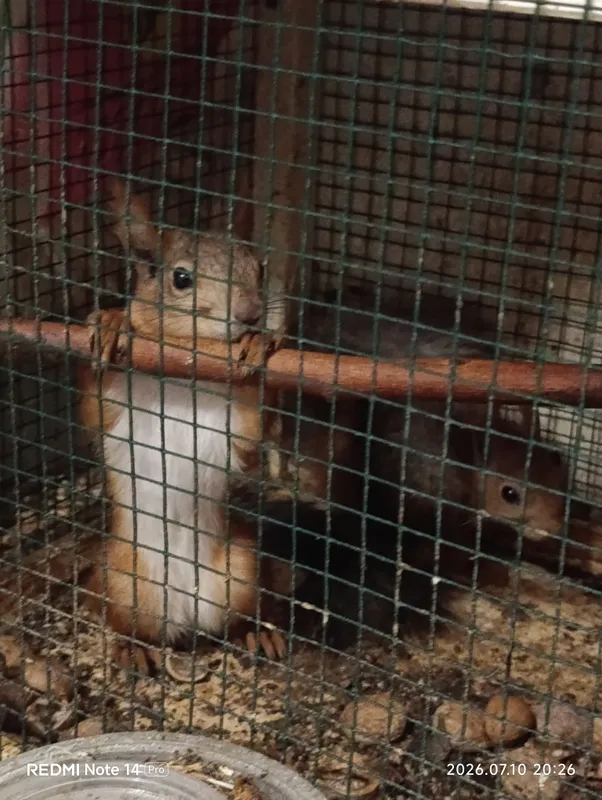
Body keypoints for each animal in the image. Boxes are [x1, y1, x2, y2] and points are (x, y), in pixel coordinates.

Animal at [78, 178, 291, 672]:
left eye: (259, 267)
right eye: (180, 278)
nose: (251, 313)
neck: (182, 374)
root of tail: (184, 611)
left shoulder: (231, 424)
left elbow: (252, 432)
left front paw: (258, 343)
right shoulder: (116, 410)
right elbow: (93, 403)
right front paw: (113, 321)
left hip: (241, 568)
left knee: (236, 617)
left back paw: (256, 633)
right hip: (124, 578)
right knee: (125, 622)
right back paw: (131, 648)